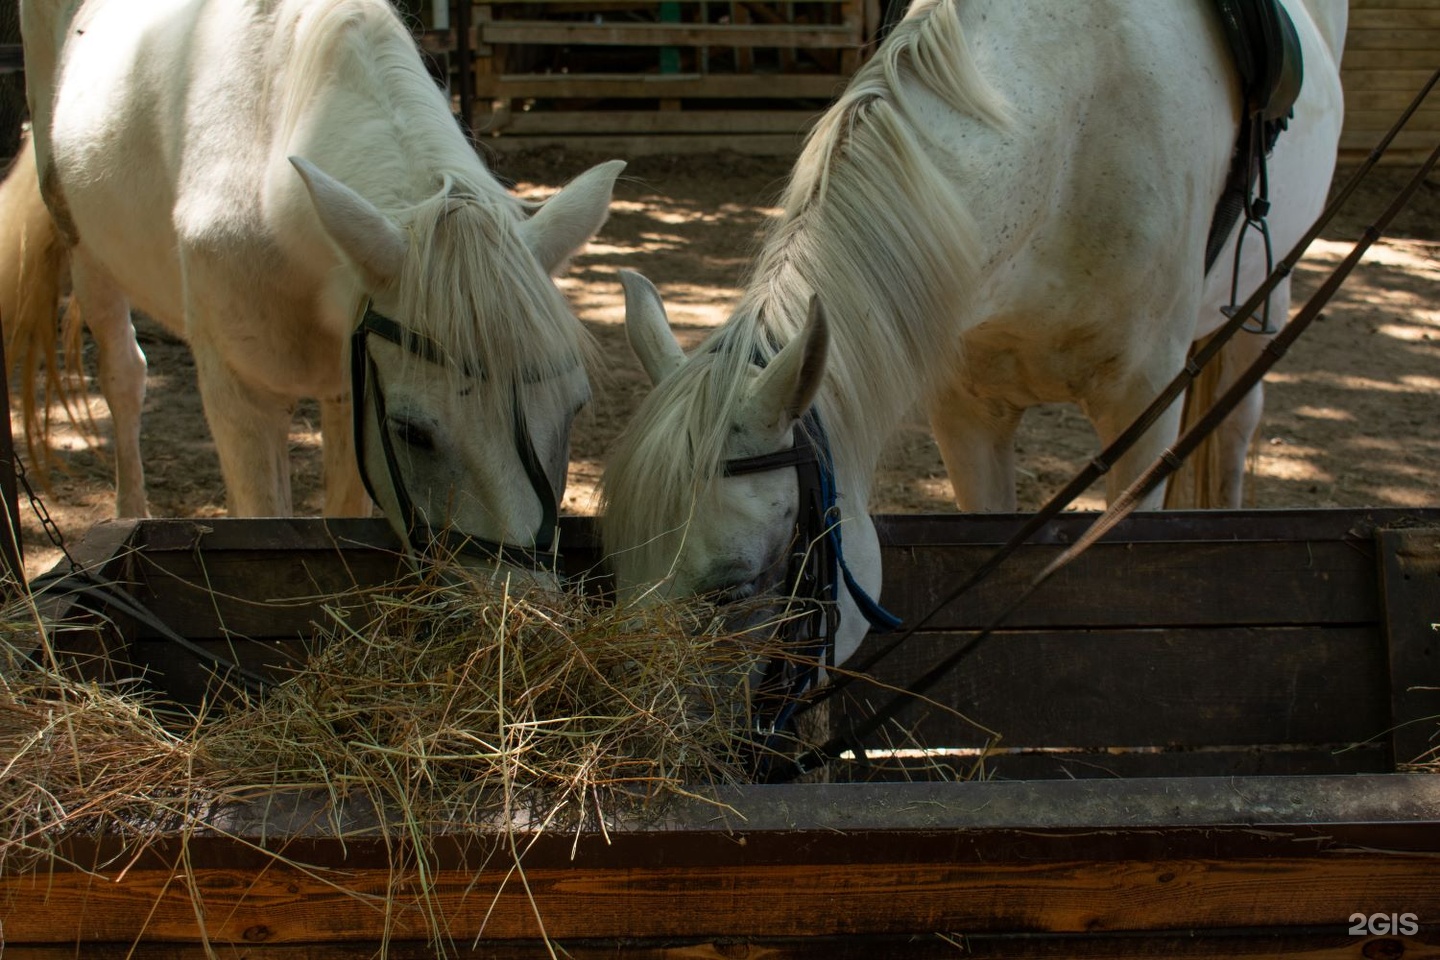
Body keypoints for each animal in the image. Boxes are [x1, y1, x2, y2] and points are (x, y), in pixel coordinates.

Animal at [5, 0, 624, 575]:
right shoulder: (240, 397)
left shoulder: (349, 392)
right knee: (124, 377)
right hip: (87, 255)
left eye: (574, 410)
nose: (526, 604)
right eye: (410, 431)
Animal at [601, 0, 1342, 667]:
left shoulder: (1142, 407)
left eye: (733, 590)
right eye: (616, 561)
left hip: (1260, 306)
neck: (1073, 141)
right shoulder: (967, 413)